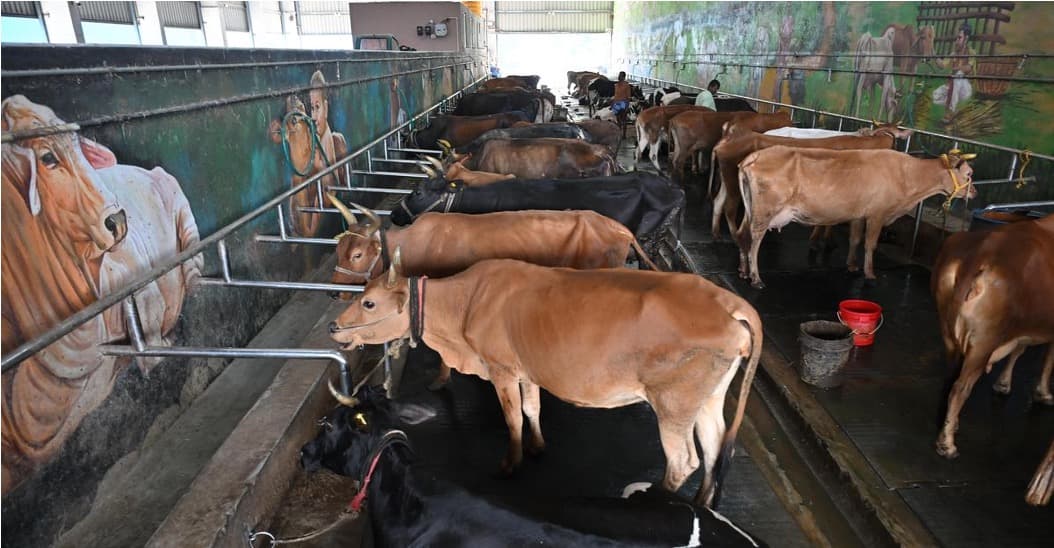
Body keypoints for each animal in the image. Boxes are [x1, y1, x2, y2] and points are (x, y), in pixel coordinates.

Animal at [328, 255, 763, 508]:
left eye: (368, 302)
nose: (334, 327)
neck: (464, 304)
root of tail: (729, 302)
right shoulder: (527, 369)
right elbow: (531, 407)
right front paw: (537, 446)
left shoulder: (501, 367)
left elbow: (512, 418)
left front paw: (510, 463)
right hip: (707, 398)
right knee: (714, 448)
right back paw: (702, 504)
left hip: (673, 403)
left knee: (683, 461)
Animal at [709, 124, 913, 241]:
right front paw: (818, 239)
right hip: (733, 183)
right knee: (729, 207)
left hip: (727, 181)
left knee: (718, 201)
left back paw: (716, 233)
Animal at [737, 147, 976, 288]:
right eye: (969, 174)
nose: (974, 193)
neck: (908, 175)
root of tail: (755, 155)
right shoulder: (877, 214)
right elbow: (870, 244)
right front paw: (869, 273)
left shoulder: (858, 214)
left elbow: (855, 239)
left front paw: (851, 265)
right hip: (764, 212)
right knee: (754, 240)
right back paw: (756, 278)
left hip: (751, 210)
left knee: (742, 235)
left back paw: (743, 271)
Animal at [930, 215, 1053, 460]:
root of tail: (978, 254)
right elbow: (1048, 361)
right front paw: (1044, 393)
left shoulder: (1019, 329)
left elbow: (1018, 350)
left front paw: (1003, 384)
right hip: (984, 341)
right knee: (960, 388)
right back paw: (947, 444)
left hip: (949, 332)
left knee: (950, 377)